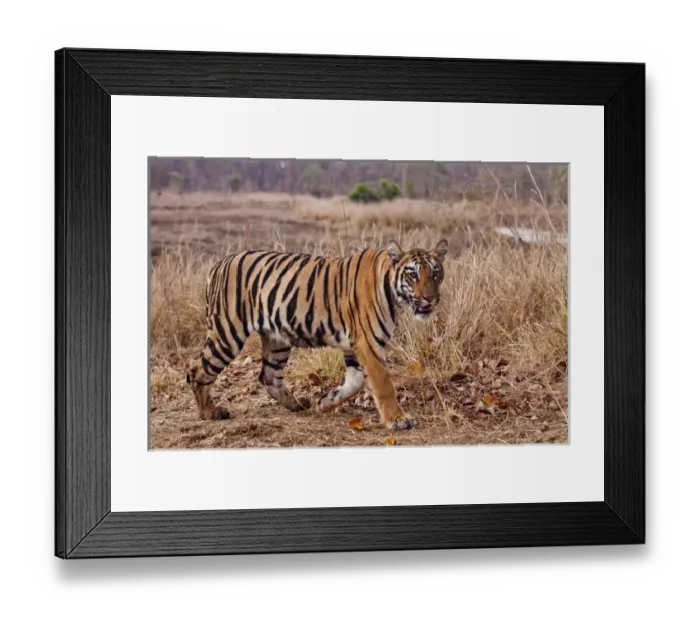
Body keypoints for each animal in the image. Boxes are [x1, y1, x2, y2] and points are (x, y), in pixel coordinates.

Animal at [186, 239, 448, 431]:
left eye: (435, 273)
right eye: (413, 275)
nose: (430, 299)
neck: (394, 295)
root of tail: (218, 264)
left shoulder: (353, 346)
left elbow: (355, 383)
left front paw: (324, 402)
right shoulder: (368, 343)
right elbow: (383, 383)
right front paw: (398, 419)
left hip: (276, 339)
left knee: (268, 376)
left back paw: (298, 404)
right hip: (228, 333)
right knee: (198, 370)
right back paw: (209, 412)